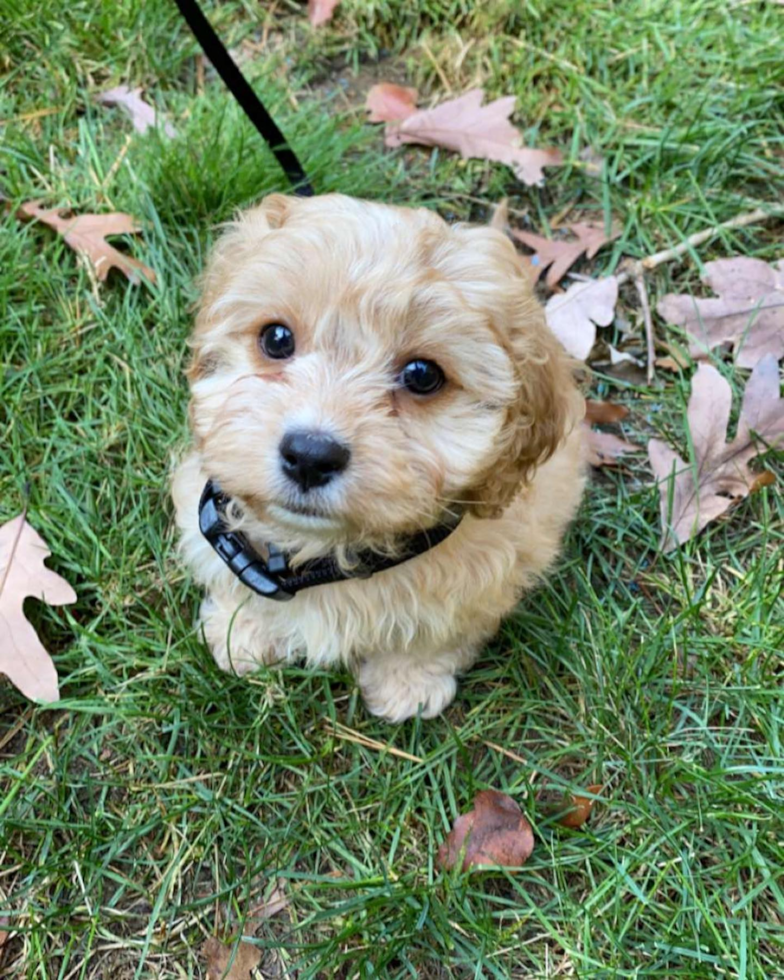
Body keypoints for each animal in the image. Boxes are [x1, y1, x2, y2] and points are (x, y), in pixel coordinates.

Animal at [173, 195, 588, 724]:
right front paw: (242, 629)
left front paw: (409, 681)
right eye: (277, 339)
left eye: (423, 374)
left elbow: (439, 630)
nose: (310, 455)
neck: (326, 555)